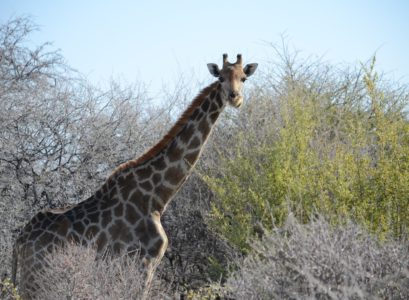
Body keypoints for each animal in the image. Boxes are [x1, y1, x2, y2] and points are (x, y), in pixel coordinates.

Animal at [11, 54, 255, 298]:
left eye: (243, 78)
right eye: (221, 78)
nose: (235, 98)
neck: (157, 197)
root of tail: (20, 240)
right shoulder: (143, 263)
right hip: (37, 278)